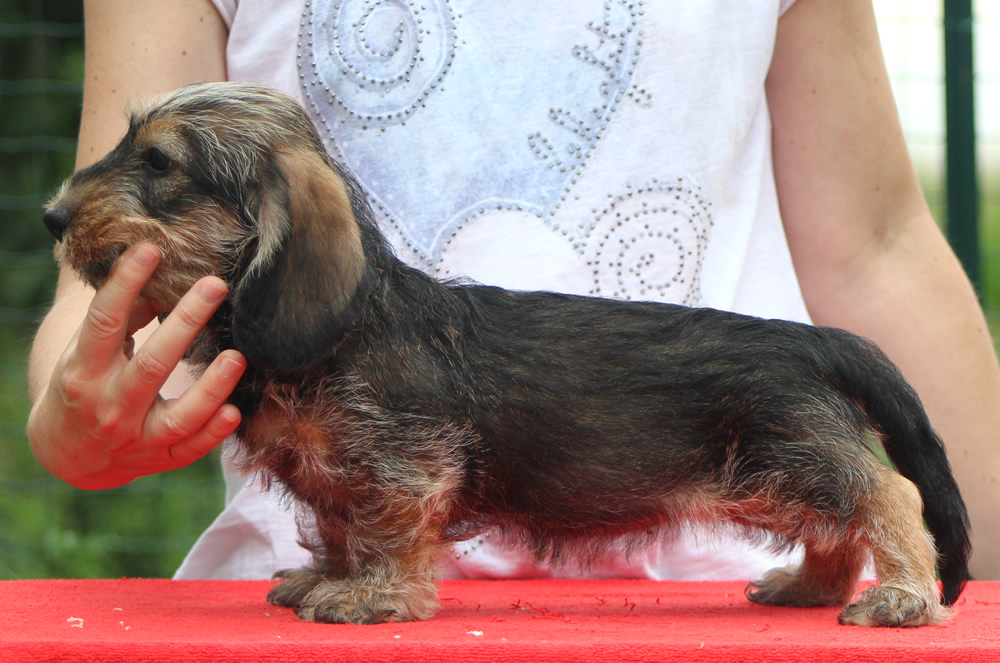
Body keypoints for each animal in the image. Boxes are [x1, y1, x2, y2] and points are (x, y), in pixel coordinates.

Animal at [41, 81, 968, 628]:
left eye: (160, 162)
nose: (51, 216)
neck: (350, 323)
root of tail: (813, 337)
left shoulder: (403, 462)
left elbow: (387, 526)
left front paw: (375, 594)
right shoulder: (337, 474)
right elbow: (338, 522)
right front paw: (327, 576)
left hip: (789, 459)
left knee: (887, 494)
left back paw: (902, 594)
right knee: (840, 525)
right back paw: (811, 585)